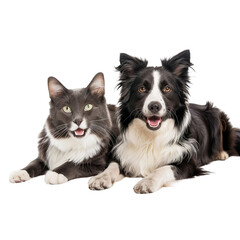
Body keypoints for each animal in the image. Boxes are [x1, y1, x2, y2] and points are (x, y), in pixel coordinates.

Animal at [88, 50, 240, 193]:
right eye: (142, 88)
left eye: (167, 89)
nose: (154, 106)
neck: (151, 136)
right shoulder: (124, 154)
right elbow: (112, 166)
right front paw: (101, 177)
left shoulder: (188, 163)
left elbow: (165, 168)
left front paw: (147, 182)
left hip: (216, 114)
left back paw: (221, 154)